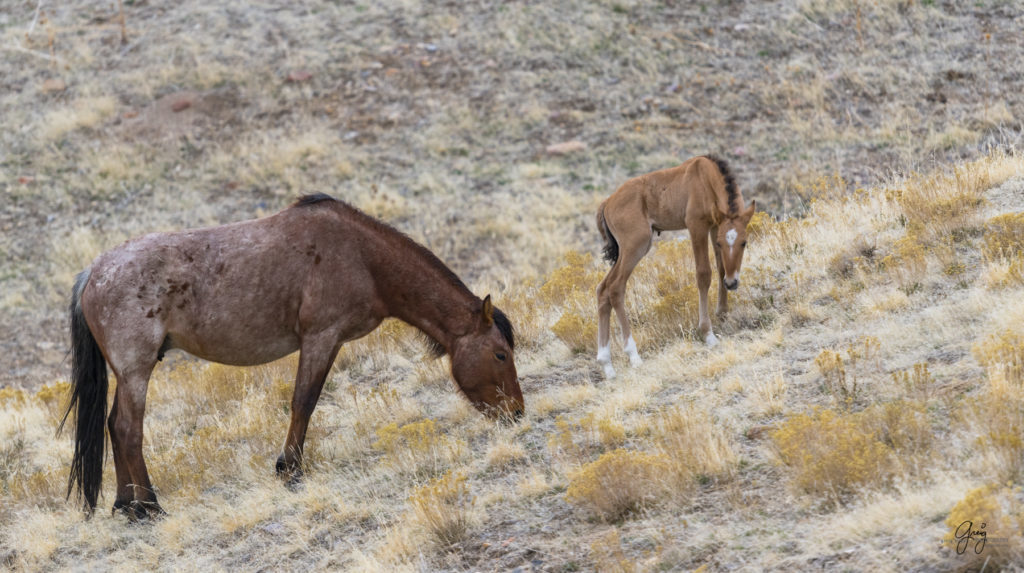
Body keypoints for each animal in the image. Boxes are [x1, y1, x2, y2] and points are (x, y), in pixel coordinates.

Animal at [59, 193, 524, 519]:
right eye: (500, 354)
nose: (516, 413)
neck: (362, 257)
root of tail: (92, 274)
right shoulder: (322, 338)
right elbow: (304, 401)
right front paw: (291, 470)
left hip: (128, 374)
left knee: (113, 427)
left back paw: (127, 506)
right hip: (136, 371)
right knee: (127, 430)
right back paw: (151, 507)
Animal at [598, 154, 757, 378]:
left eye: (744, 242)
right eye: (721, 243)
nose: (732, 283)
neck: (706, 177)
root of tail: (607, 203)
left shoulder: (714, 226)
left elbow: (721, 268)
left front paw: (723, 313)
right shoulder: (696, 226)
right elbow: (703, 274)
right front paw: (707, 333)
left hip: (628, 250)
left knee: (602, 289)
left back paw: (607, 365)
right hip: (636, 245)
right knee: (615, 287)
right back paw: (633, 355)